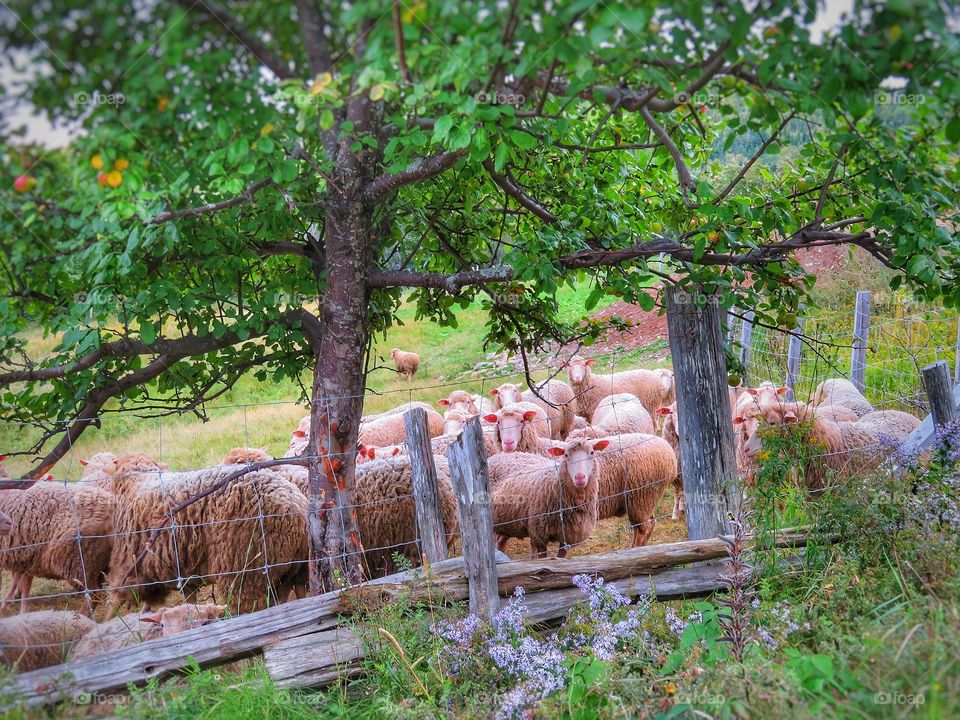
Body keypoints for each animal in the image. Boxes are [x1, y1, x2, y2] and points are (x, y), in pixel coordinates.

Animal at [0, 478, 114, 612]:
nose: (9, 523)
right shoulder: (25, 558)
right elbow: (22, 584)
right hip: (100, 564)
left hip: (79, 561)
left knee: (93, 593)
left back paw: (82, 615)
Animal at [110, 452, 310, 612]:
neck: (136, 483)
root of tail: (298, 506)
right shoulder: (182, 571)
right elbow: (189, 599)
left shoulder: (131, 568)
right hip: (290, 570)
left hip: (247, 572)